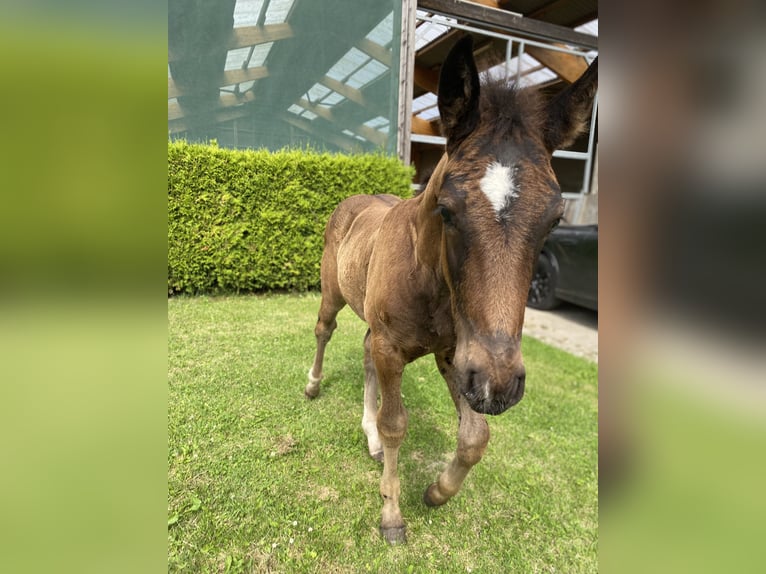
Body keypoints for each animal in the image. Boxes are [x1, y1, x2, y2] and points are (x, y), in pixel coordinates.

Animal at [306, 36, 600, 544]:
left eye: (555, 219)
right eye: (446, 209)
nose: (502, 385)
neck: (429, 282)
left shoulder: (457, 355)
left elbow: (475, 435)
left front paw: (436, 492)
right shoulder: (398, 349)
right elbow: (395, 424)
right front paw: (391, 516)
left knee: (363, 352)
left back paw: (368, 440)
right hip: (333, 294)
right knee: (325, 330)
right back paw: (312, 384)